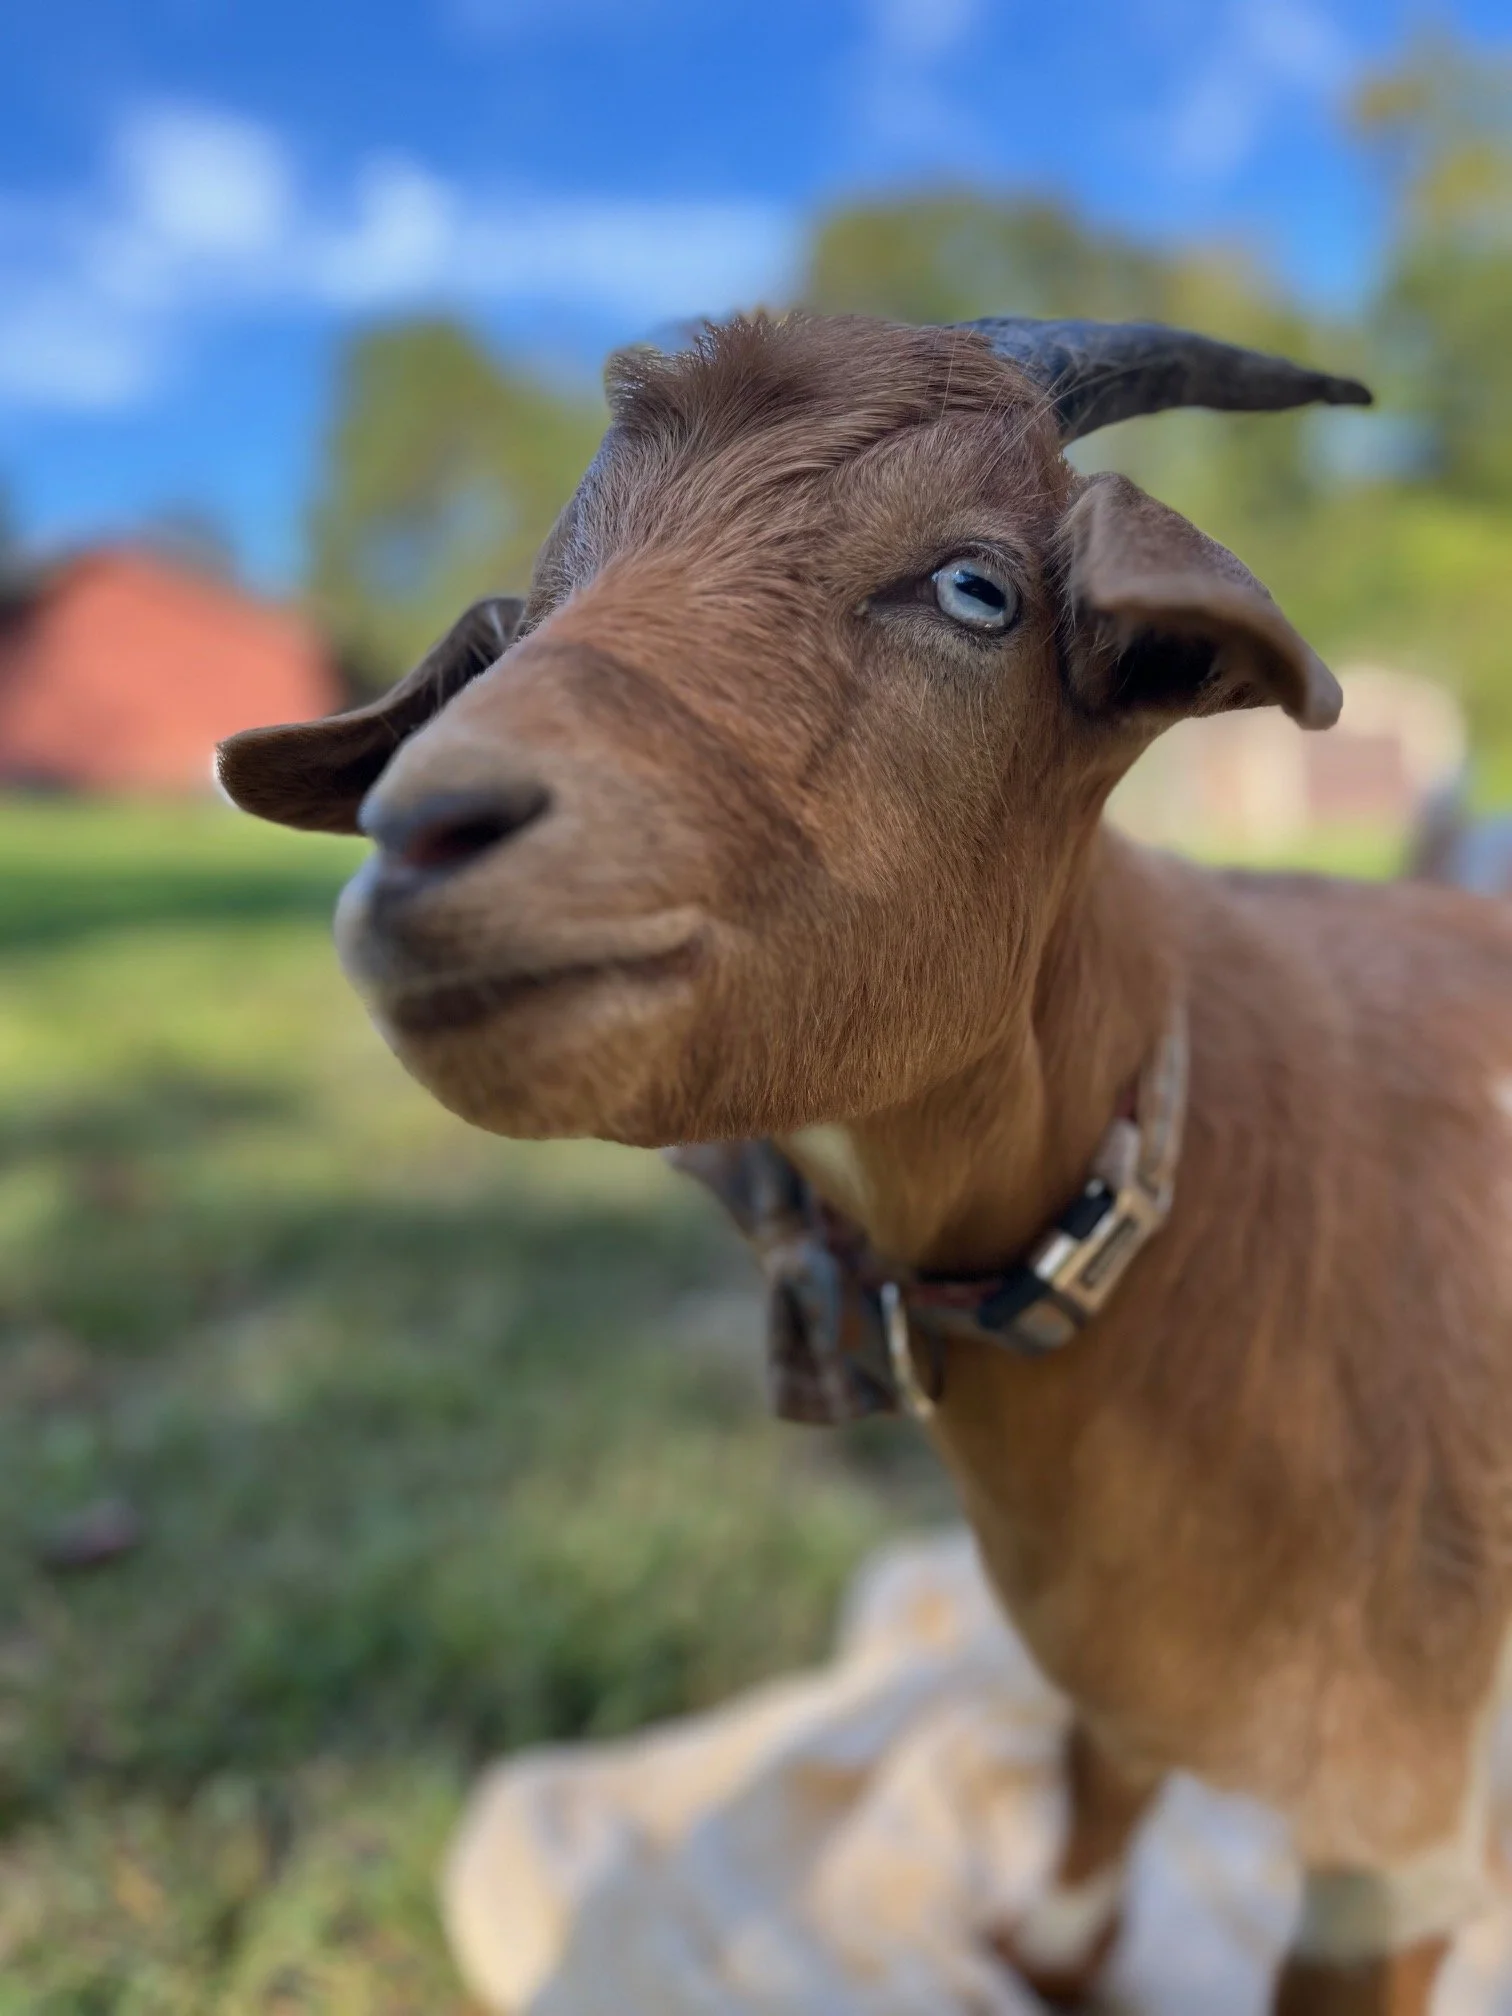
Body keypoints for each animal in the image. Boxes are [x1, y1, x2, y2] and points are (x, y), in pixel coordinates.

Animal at [219, 312, 1512, 2015]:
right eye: (508, 638)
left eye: (978, 588)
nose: (428, 831)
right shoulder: (1111, 1675)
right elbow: (1091, 1812)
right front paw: (1044, 1951)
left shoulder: (1394, 1826)